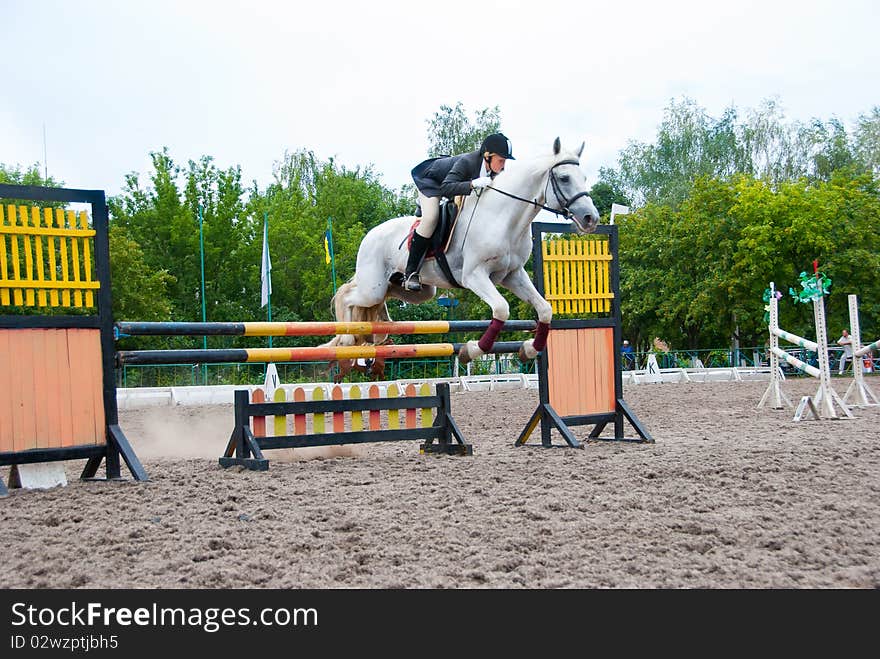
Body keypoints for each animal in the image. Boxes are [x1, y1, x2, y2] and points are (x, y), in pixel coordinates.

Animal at [326, 139, 600, 364]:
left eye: (584, 177)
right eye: (564, 178)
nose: (591, 219)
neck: (505, 218)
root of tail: (371, 233)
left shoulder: (513, 275)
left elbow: (544, 310)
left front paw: (529, 349)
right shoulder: (474, 275)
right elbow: (501, 309)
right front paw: (473, 350)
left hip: (416, 289)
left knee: (384, 296)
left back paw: (381, 330)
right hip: (372, 285)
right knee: (348, 295)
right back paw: (348, 339)